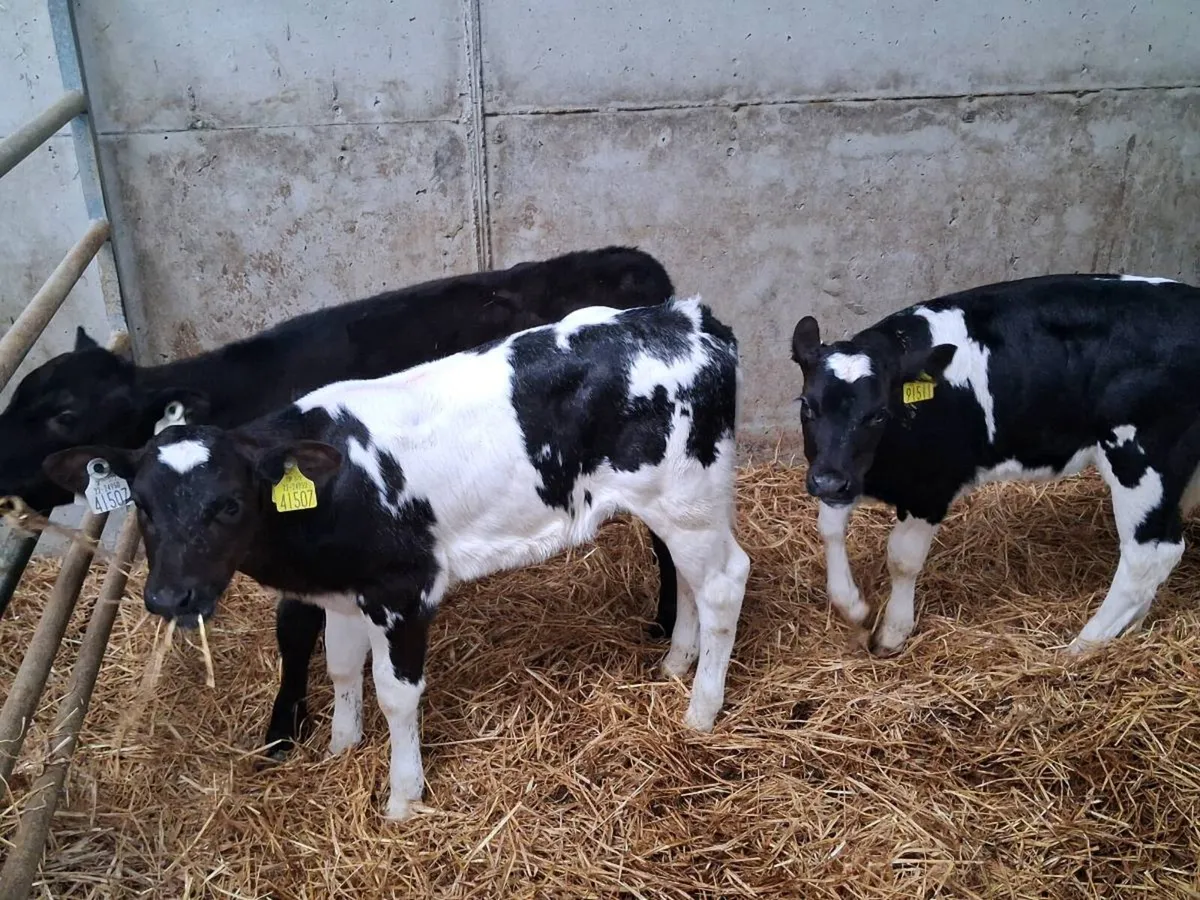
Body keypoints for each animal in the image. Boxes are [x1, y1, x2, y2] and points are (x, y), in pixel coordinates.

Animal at [0, 247, 682, 756]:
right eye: (18, 396)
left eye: (65, 415)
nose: (0, 468)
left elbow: (294, 628)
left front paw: (283, 726)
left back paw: (665, 624)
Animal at [43, 297, 750, 820]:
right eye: (142, 505)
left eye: (230, 504)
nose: (169, 598)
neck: (332, 487)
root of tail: (687, 319)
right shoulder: (342, 590)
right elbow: (339, 666)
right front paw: (339, 748)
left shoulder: (403, 590)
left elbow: (395, 695)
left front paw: (403, 797)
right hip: (673, 505)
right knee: (689, 576)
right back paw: (675, 664)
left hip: (688, 495)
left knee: (724, 581)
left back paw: (700, 711)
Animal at [789, 273, 1200, 656]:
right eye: (806, 405)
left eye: (877, 414)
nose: (828, 482)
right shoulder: (844, 473)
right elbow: (829, 529)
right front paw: (855, 608)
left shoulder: (932, 487)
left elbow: (902, 558)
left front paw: (892, 632)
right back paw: (1129, 628)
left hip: (1140, 458)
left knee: (1149, 554)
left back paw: (1080, 648)